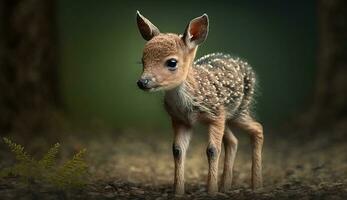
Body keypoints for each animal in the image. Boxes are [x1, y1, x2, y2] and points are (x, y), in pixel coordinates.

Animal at [136, 11, 264, 195]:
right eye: (143, 60)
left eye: (172, 62)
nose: (142, 82)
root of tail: (247, 67)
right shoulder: (180, 119)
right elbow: (177, 150)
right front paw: (178, 192)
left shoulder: (215, 114)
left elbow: (212, 150)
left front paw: (211, 191)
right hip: (227, 117)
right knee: (233, 140)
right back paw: (226, 186)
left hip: (238, 110)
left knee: (257, 128)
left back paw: (257, 185)